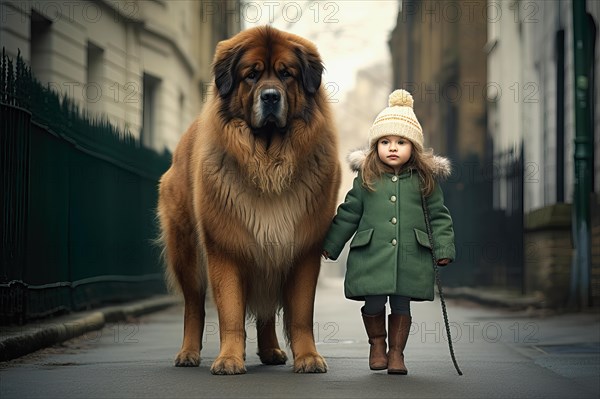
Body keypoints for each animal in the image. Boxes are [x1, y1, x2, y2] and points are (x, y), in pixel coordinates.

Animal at [157, 26, 340, 376]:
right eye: (251, 75)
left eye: (286, 74)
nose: (270, 96)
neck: (268, 159)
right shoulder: (226, 247)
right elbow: (230, 311)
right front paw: (229, 359)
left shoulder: (302, 248)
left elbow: (301, 315)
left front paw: (308, 357)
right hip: (187, 252)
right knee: (193, 306)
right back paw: (188, 353)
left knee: (266, 309)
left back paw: (270, 351)